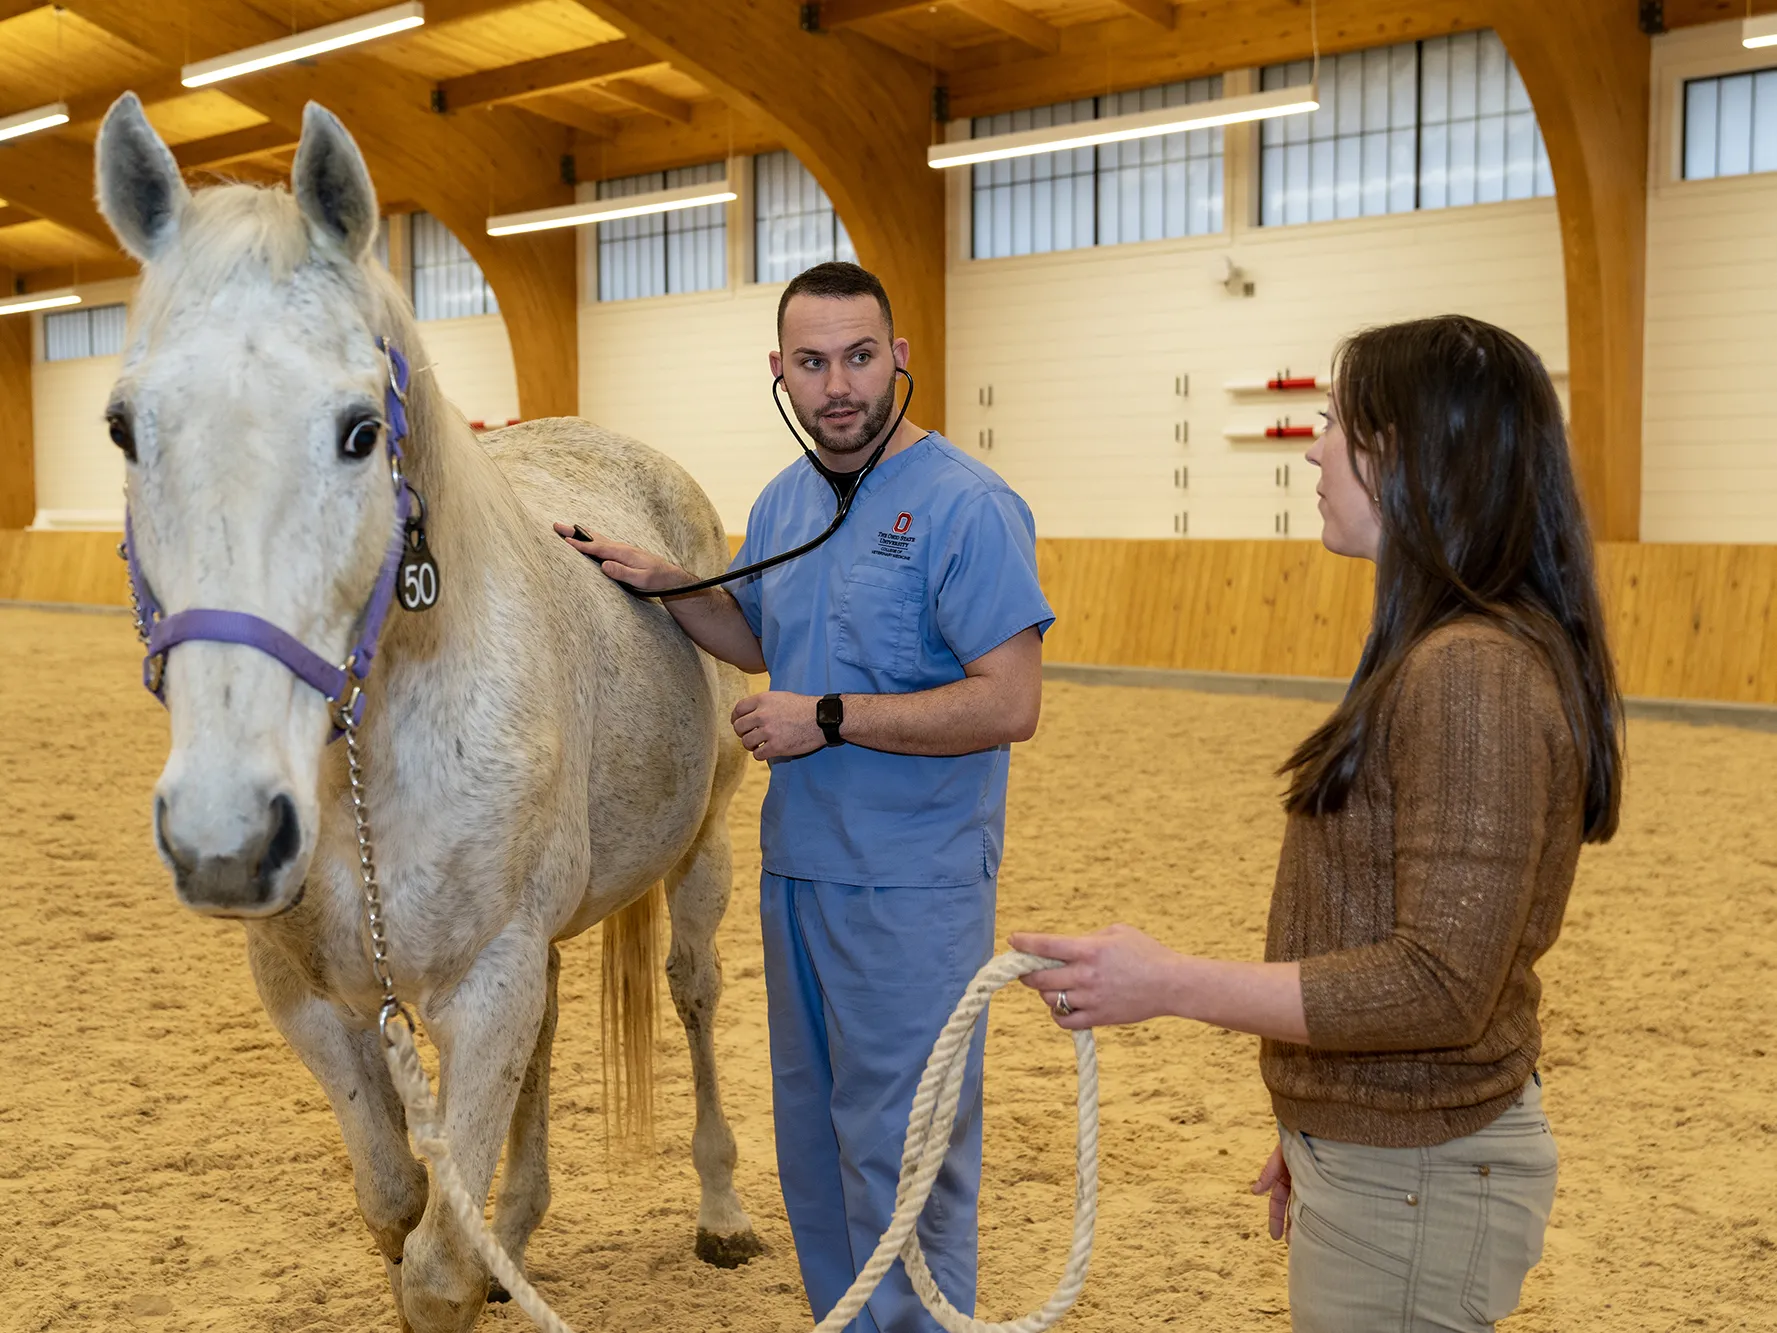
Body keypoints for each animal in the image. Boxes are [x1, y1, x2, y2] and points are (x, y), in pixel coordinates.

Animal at [97, 96, 760, 1333]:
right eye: (123, 427)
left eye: (361, 428)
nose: (225, 837)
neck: (366, 774)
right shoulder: (310, 1002)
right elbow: (396, 1204)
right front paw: (477, 1235)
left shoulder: (489, 983)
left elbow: (437, 1267)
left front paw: (475, 1263)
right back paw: (522, 1232)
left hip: (699, 849)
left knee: (693, 991)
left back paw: (722, 1208)